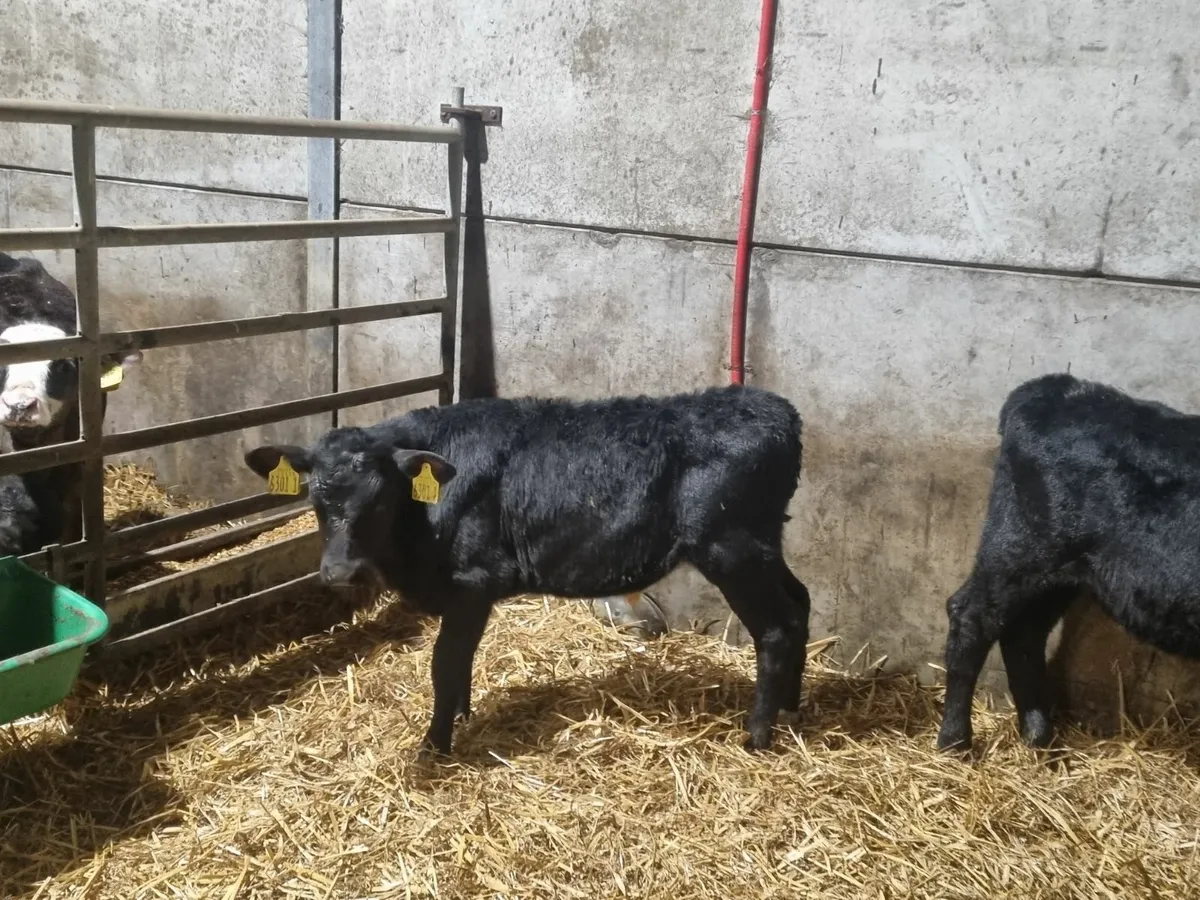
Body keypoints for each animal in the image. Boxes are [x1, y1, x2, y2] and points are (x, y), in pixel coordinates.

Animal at [244, 385, 810, 758]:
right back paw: (792, 707)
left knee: (776, 629)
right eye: (315, 500)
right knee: (801, 604)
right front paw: (462, 717)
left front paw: (435, 745)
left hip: (731, 547)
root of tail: (773, 407)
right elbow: (461, 661)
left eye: (381, 500)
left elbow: (445, 663)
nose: (341, 572)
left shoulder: (475, 581)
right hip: (762, 544)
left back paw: (758, 735)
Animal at [938, 372, 1200, 753]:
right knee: (972, 617)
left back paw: (1039, 738)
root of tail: (1059, 387)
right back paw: (955, 740)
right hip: (1021, 546)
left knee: (1024, 635)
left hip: (1061, 574)